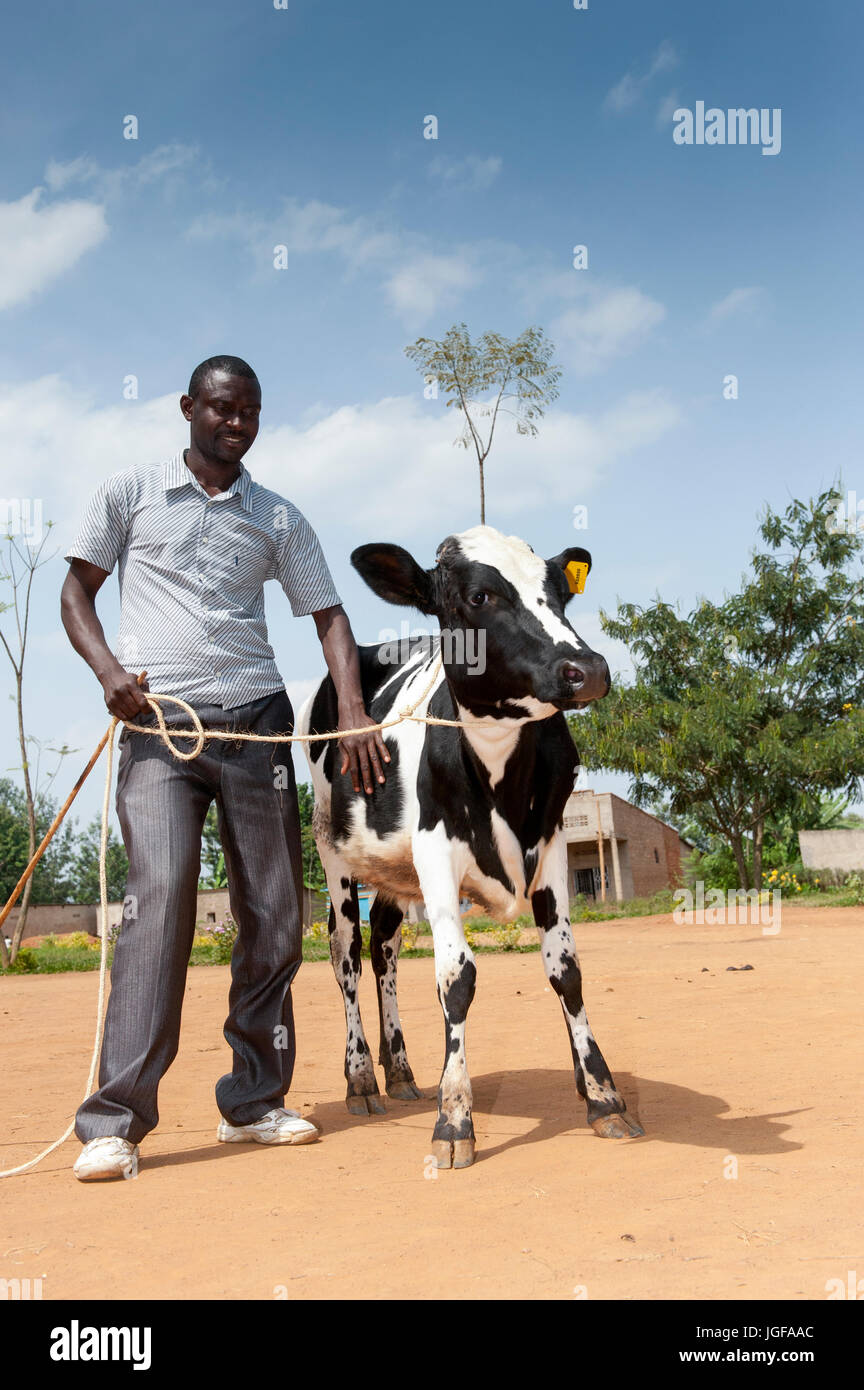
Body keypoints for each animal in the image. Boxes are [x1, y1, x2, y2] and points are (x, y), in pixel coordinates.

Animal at [297, 525, 644, 1167]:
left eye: (561, 591)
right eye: (478, 597)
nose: (586, 669)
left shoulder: (553, 844)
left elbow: (567, 972)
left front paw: (601, 1094)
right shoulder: (436, 851)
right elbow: (456, 980)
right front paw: (454, 1118)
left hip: (395, 869)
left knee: (384, 948)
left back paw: (401, 1071)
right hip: (334, 853)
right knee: (347, 955)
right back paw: (362, 1078)